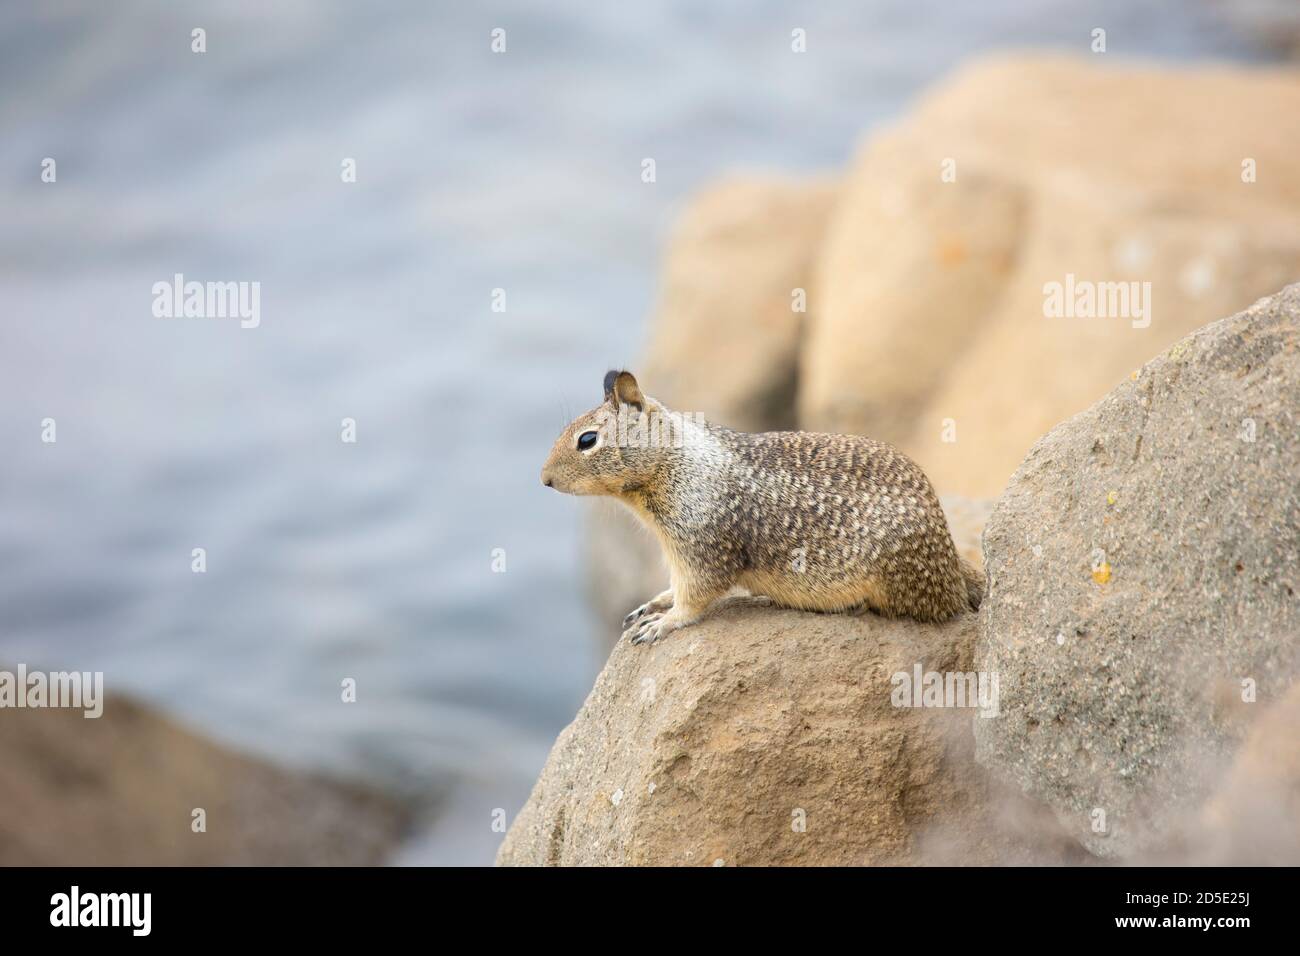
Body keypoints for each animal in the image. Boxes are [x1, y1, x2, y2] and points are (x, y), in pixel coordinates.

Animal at [541, 370, 984, 645]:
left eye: (586, 440)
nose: (544, 479)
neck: (674, 460)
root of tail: (951, 570)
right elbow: (674, 586)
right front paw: (655, 603)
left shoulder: (702, 544)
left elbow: (696, 594)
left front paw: (664, 622)